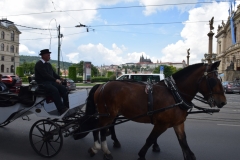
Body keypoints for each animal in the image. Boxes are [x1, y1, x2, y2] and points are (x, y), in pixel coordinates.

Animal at [85, 60, 226, 159]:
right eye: (213, 80)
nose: (223, 102)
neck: (174, 93)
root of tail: (102, 85)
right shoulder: (162, 124)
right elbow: (150, 139)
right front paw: (142, 155)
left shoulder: (178, 124)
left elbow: (184, 142)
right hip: (107, 114)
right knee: (98, 127)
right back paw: (99, 148)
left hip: (112, 114)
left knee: (106, 127)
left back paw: (108, 147)